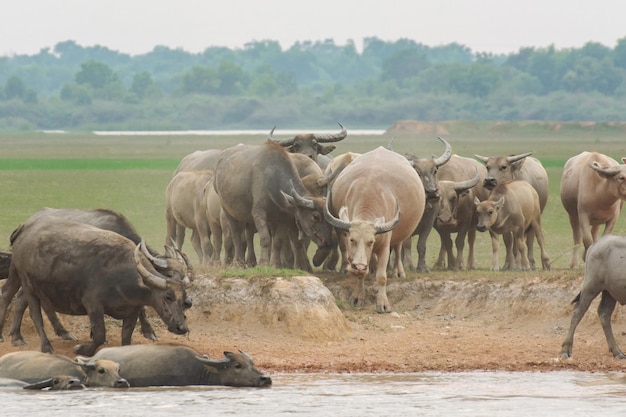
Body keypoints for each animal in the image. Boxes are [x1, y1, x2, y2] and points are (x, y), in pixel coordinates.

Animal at [322, 146, 424, 312]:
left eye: (371, 241)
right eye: (352, 239)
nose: (359, 266)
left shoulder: (384, 247)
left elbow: (382, 277)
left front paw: (383, 303)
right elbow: (361, 275)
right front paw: (358, 297)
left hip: (400, 237)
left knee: (398, 250)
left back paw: (398, 273)